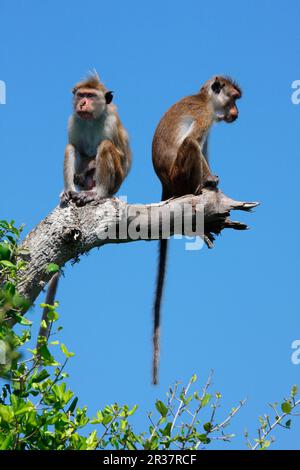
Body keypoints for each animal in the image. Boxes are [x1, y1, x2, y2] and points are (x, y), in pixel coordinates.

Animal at [60, 73, 131, 206]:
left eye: (91, 96)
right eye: (81, 95)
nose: (82, 103)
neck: (91, 120)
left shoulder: (111, 122)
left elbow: (123, 157)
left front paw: (90, 167)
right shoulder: (73, 121)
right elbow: (76, 147)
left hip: (115, 183)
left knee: (105, 145)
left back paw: (97, 192)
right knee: (71, 147)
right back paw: (70, 190)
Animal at [151, 75, 243, 384]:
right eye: (234, 98)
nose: (237, 112)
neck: (207, 99)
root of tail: (167, 185)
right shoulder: (205, 116)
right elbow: (193, 142)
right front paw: (211, 181)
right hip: (180, 175)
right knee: (191, 147)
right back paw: (200, 188)